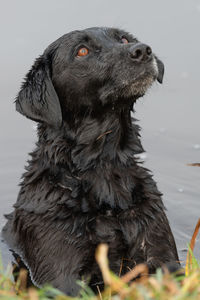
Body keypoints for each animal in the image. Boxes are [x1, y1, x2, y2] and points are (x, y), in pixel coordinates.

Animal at [1, 27, 180, 296]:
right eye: (82, 51)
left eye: (124, 39)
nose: (142, 50)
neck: (103, 168)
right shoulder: (62, 276)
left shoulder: (161, 253)